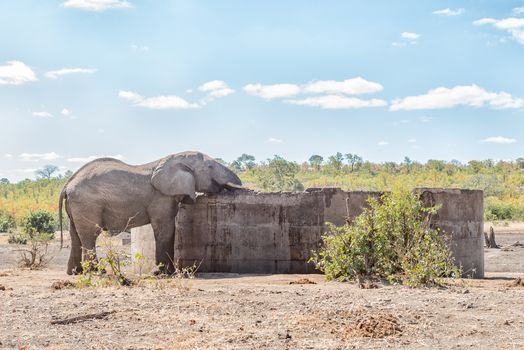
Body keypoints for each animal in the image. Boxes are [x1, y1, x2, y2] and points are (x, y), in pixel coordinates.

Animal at [57, 152, 244, 274]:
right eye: (210, 166)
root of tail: (67, 185)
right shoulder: (160, 197)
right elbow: (165, 229)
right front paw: (164, 273)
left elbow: (169, 229)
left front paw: (167, 272)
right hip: (87, 204)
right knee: (90, 235)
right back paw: (97, 272)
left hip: (76, 206)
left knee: (75, 236)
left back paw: (75, 273)